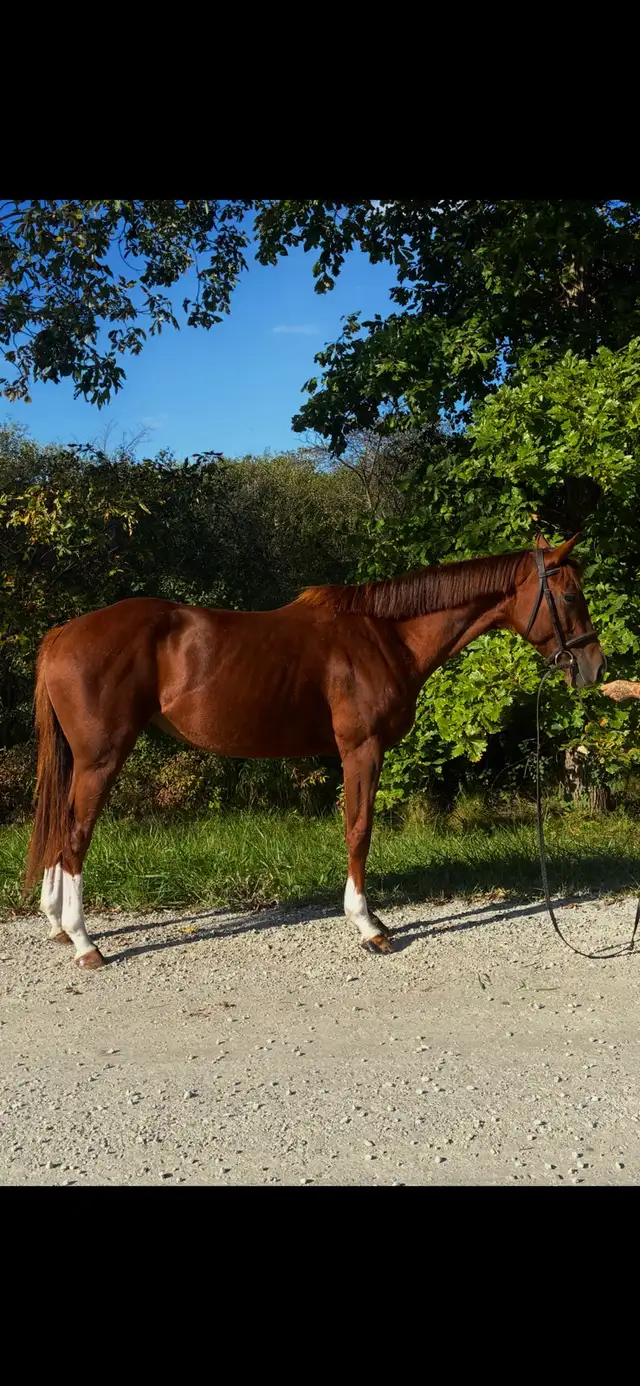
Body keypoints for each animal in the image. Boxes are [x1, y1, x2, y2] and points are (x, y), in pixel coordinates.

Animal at [24, 532, 605, 970]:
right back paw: (85, 943)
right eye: (570, 596)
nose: (595, 666)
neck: (386, 637)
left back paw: (58, 925)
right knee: (74, 834)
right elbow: (359, 830)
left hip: (81, 761)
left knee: (58, 826)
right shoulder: (361, 751)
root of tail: (63, 633)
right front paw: (369, 926)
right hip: (101, 758)